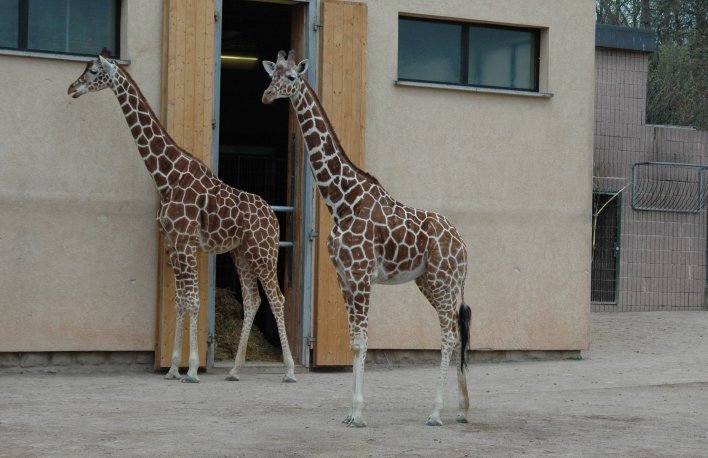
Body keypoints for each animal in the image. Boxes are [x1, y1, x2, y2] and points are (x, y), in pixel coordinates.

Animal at [69, 50, 296, 384]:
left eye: (94, 71)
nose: (72, 88)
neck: (167, 176)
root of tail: (274, 217)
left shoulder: (186, 240)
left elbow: (192, 300)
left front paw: (191, 368)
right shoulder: (174, 241)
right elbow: (180, 301)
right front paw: (174, 367)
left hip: (263, 251)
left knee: (277, 298)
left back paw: (289, 370)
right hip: (240, 253)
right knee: (253, 299)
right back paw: (235, 369)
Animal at [262, 50, 472, 426]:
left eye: (291, 78)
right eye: (272, 75)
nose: (267, 96)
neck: (342, 202)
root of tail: (464, 244)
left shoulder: (361, 276)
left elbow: (362, 342)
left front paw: (358, 413)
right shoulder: (344, 278)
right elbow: (353, 341)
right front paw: (350, 411)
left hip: (443, 279)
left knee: (449, 334)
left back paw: (436, 412)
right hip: (429, 282)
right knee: (457, 330)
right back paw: (462, 409)